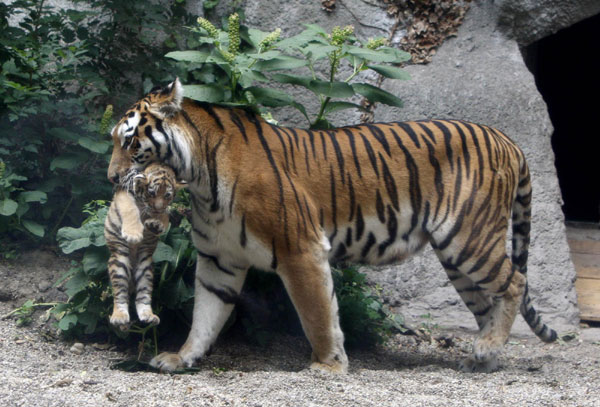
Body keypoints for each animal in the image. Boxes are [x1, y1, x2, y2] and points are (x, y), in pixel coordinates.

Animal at [108, 78, 556, 374]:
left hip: (468, 238)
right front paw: (182, 357)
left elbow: (318, 314)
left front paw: (328, 365)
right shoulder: (219, 259)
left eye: (130, 143)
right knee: (488, 302)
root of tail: (508, 141)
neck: (199, 180)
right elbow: (205, 315)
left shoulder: (300, 248)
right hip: (459, 259)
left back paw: (489, 347)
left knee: (515, 282)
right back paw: (483, 355)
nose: (112, 177)